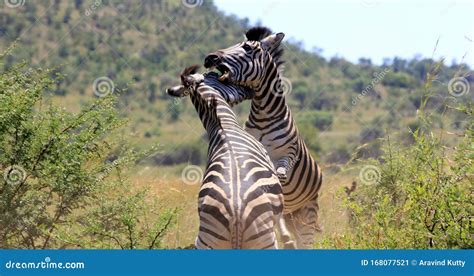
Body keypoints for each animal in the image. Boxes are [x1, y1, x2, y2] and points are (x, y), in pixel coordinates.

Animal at [165, 65, 294, 250]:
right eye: (219, 76)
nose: (250, 89)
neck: (222, 124)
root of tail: (236, 210)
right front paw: (288, 238)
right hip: (265, 240)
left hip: (206, 241)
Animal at [203, 27, 322, 249]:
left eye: (247, 48)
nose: (209, 57)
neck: (264, 116)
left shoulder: (289, 155)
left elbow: (280, 175)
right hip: (293, 215)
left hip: (308, 210)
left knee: (305, 239)